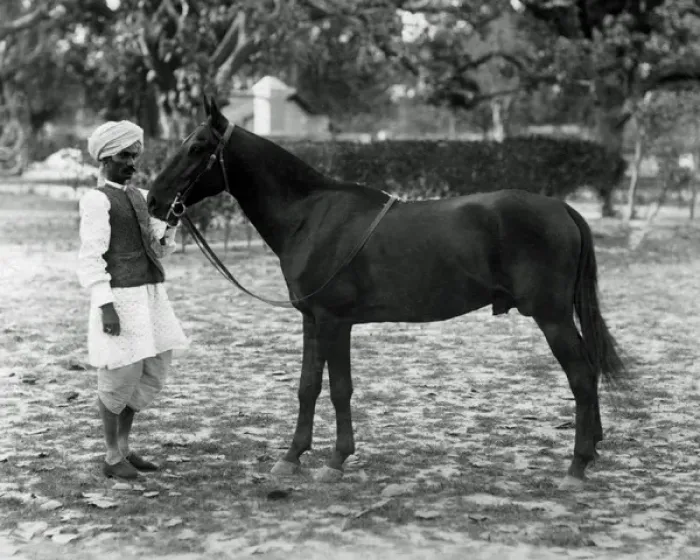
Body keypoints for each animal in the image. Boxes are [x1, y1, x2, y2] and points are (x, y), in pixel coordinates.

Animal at [147, 96, 626, 490]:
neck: (311, 216)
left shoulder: (335, 321)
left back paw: (577, 465)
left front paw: (336, 460)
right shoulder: (312, 320)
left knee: (582, 376)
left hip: (551, 317)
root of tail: (561, 207)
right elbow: (307, 386)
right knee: (588, 371)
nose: (154, 200)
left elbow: (340, 388)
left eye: (197, 147)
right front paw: (292, 457)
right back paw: (593, 449)